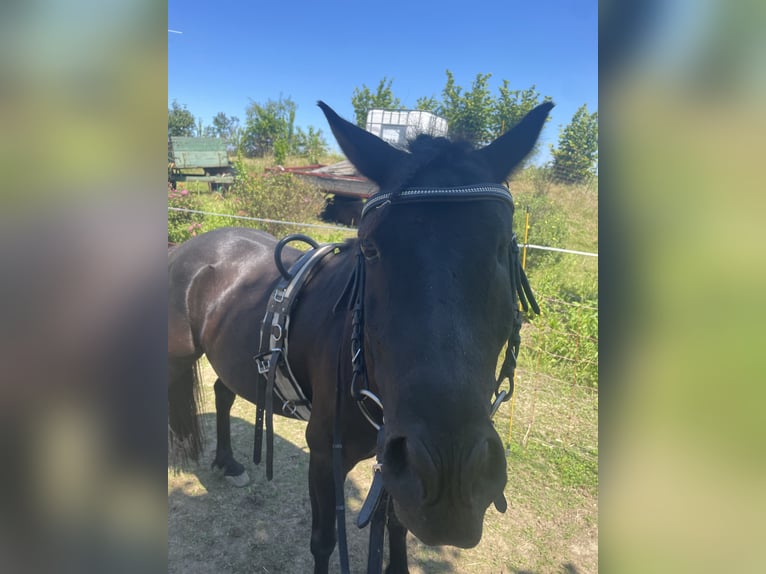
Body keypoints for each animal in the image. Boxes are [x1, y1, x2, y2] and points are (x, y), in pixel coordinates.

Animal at [168, 100, 552, 574]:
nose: (451, 475)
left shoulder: (395, 468)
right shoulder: (324, 454)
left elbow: (398, 526)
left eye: (503, 248)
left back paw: (228, 462)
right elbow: (324, 540)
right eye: (370, 247)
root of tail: (197, 244)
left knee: (223, 391)